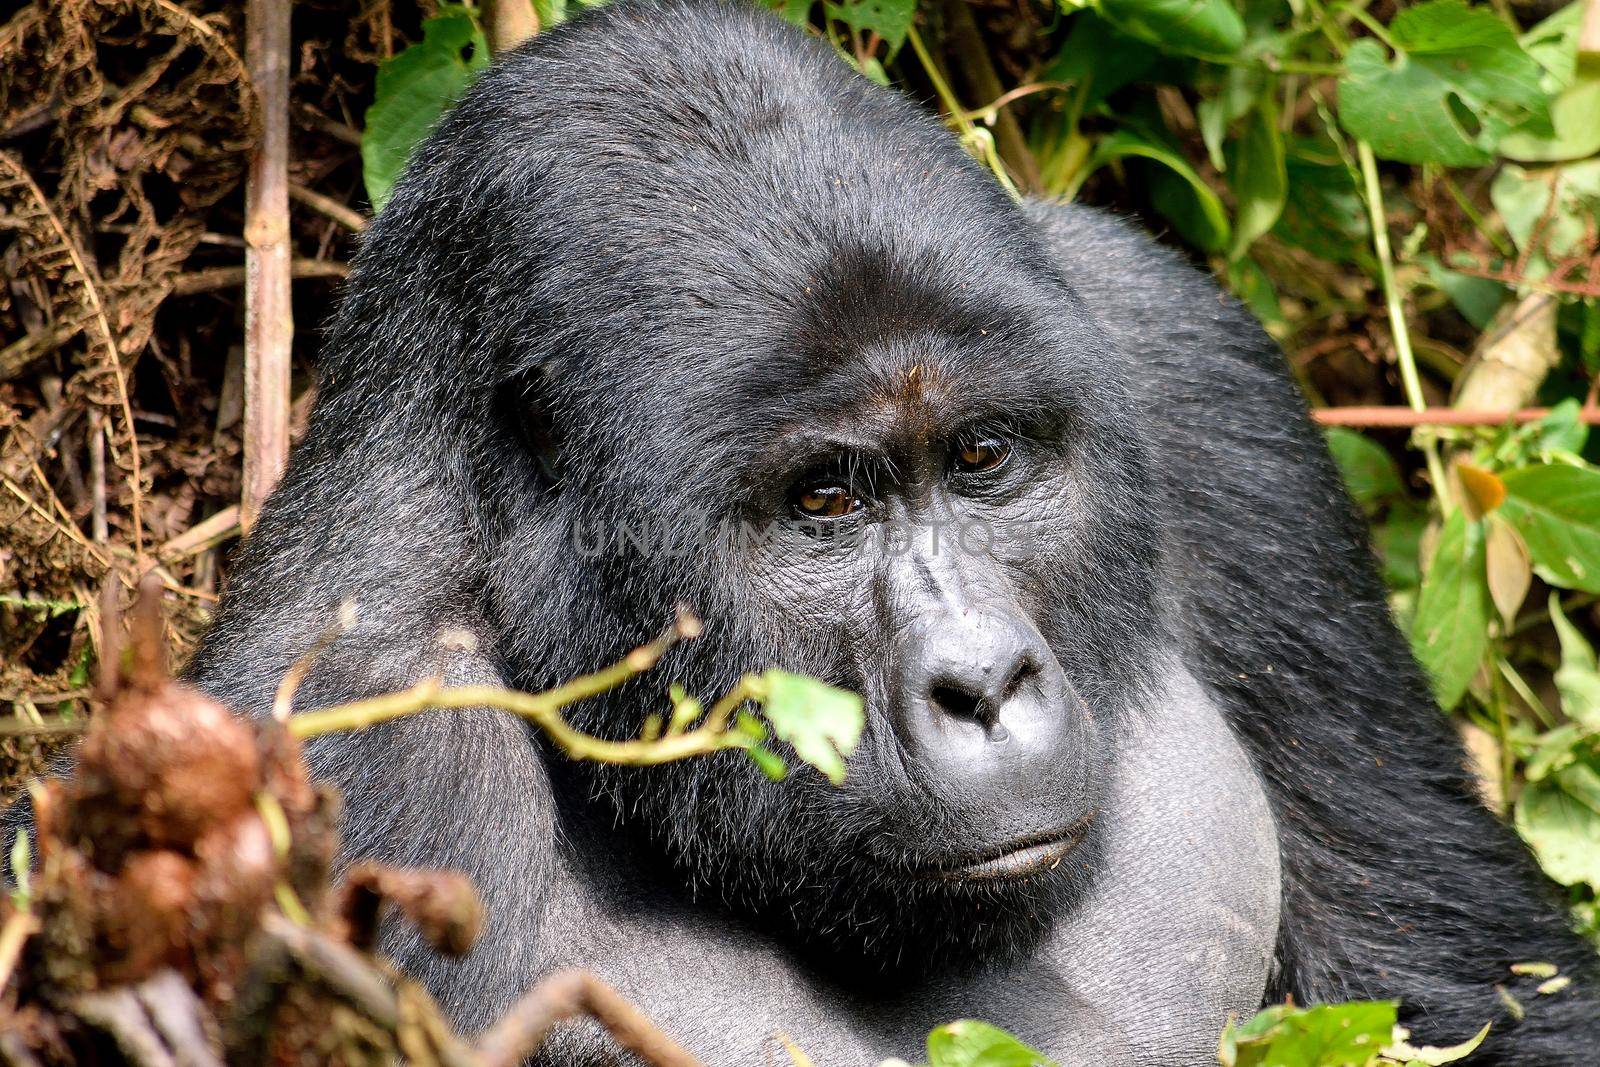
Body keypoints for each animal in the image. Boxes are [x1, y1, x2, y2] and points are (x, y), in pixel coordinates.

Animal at [178, 0, 1600, 1062]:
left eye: (982, 458)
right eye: (824, 501)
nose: (984, 680)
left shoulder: (1188, 365)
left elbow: (1475, 985)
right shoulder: (351, 749)